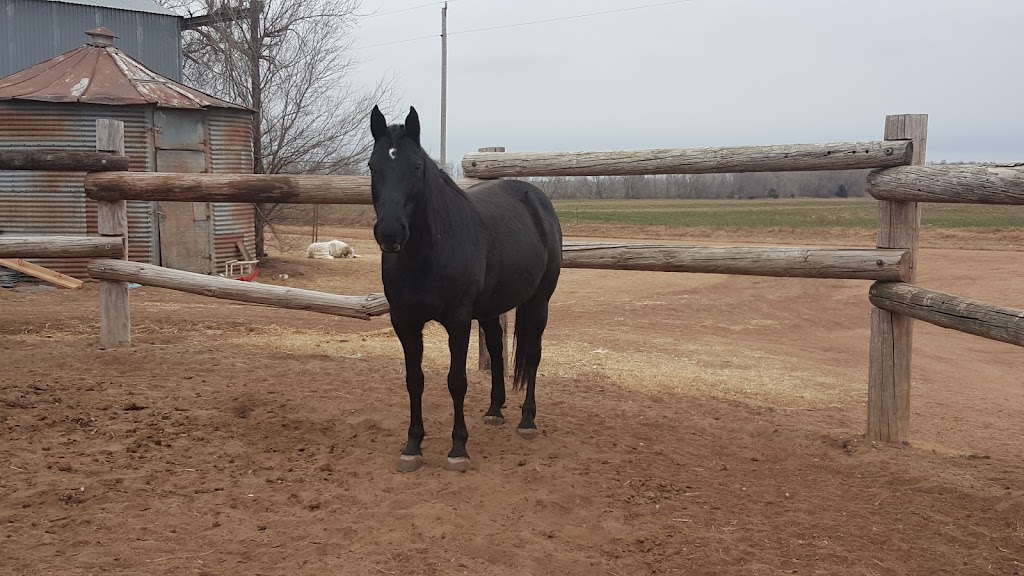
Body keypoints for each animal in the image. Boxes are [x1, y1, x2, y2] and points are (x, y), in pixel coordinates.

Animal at [366, 104, 561, 471]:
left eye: (416, 167)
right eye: (372, 165)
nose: (390, 232)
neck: (428, 253)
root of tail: (536, 198)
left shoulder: (457, 321)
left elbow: (456, 381)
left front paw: (458, 448)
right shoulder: (404, 321)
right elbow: (414, 380)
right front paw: (412, 445)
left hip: (539, 301)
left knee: (532, 354)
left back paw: (527, 420)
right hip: (490, 308)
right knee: (497, 350)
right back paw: (495, 410)